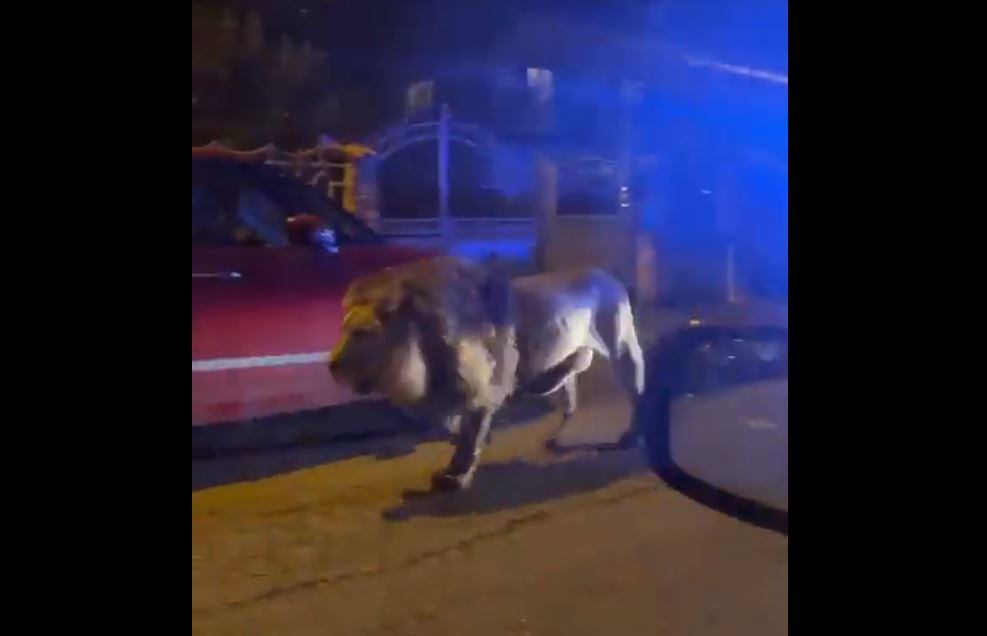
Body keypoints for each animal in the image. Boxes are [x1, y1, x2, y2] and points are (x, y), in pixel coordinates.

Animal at [328, 256, 644, 490]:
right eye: (341, 330)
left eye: (360, 333)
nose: (331, 365)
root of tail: (609, 277)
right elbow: (453, 430)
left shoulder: (482, 388)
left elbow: (470, 436)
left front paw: (457, 475)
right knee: (570, 393)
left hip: (621, 347)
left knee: (635, 389)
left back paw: (631, 437)